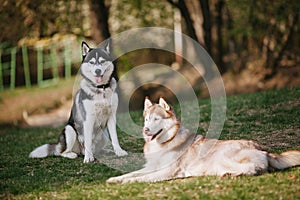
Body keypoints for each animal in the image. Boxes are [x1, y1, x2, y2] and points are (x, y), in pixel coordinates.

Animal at [107, 97, 300, 183]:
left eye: (156, 119)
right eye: (147, 119)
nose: (145, 130)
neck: (164, 143)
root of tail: (263, 148)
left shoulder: (166, 171)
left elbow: (141, 178)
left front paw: (127, 182)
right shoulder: (150, 167)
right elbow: (132, 173)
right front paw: (115, 179)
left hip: (223, 157)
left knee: (255, 169)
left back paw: (233, 174)